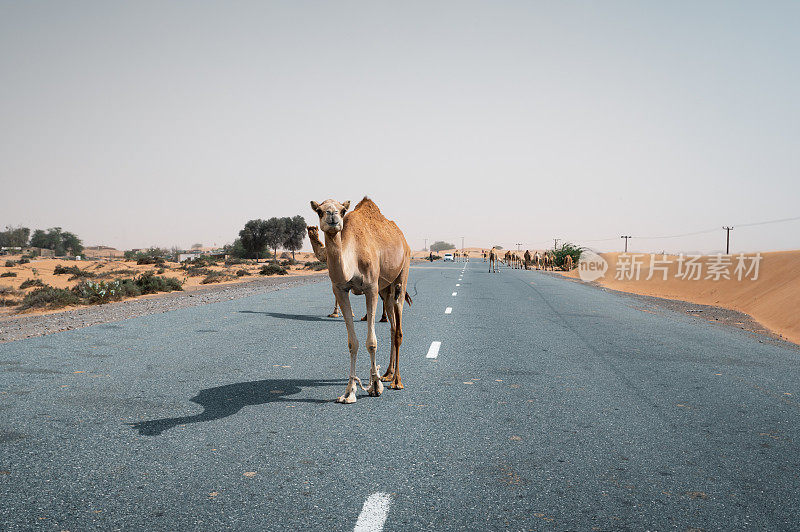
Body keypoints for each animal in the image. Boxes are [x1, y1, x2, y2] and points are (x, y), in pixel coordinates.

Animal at [304, 198, 410, 404]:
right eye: (319, 210)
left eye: (342, 210)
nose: (332, 215)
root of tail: (403, 239)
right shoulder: (340, 289)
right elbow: (352, 343)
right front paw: (349, 391)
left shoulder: (371, 288)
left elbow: (371, 342)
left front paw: (375, 386)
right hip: (385, 290)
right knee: (393, 328)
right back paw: (387, 373)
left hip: (401, 275)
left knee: (399, 329)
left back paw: (396, 381)